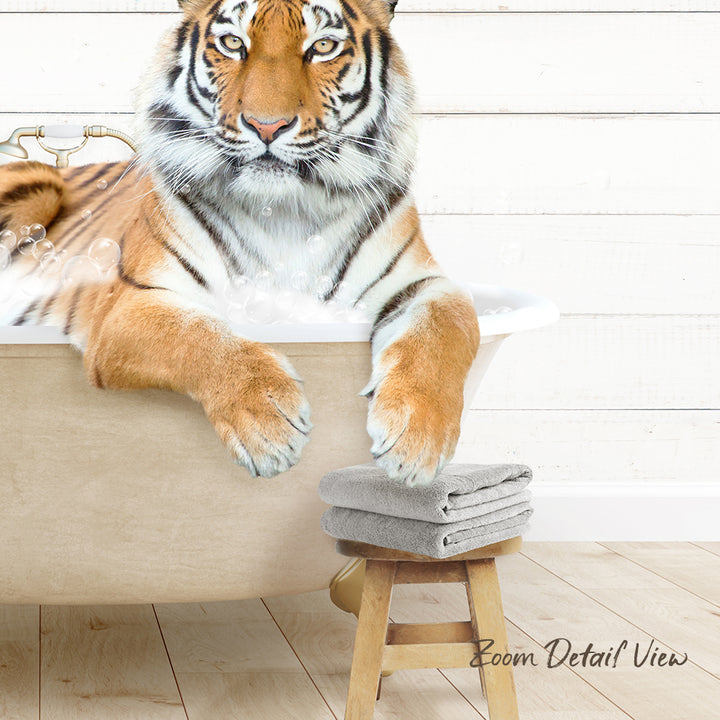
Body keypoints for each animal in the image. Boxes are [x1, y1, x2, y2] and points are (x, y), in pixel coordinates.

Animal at [0, 0, 479, 486]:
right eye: (233, 43)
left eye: (323, 46)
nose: (267, 127)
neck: (284, 212)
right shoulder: (130, 305)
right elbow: (198, 335)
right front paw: (268, 426)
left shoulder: (423, 284)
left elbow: (445, 329)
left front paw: (416, 440)